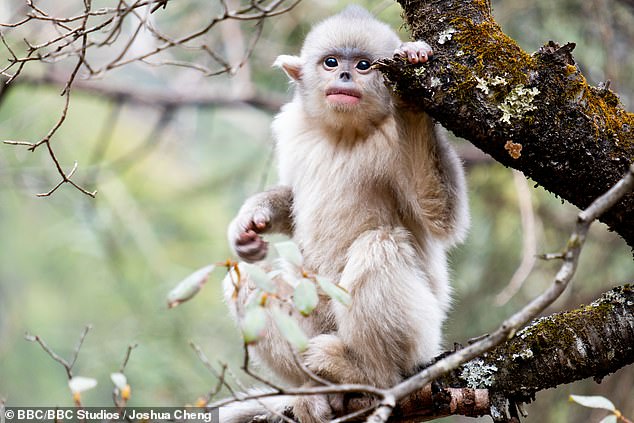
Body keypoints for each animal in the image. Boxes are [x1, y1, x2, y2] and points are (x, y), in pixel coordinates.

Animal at [220, 4, 466, 423]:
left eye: (364, 65)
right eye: (331, 62)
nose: (346, 76)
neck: (345, 134)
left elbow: (442, 217)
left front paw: (410, 93)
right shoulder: (293, 128)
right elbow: (290, 198)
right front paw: (251, 221)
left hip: (422, 341)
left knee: (378, 246)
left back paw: (367, 375)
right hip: (314, 317)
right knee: (247, 281)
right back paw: (316, 392)